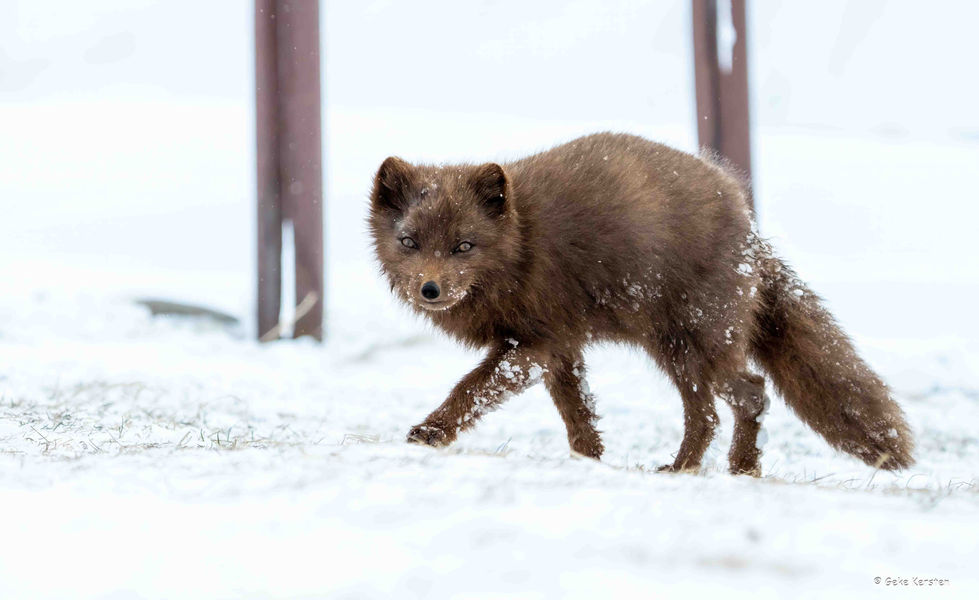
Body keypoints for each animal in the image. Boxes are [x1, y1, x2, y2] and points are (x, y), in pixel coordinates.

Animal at [368, 132, 913, 475]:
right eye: (410, 242)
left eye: (464, 246)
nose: (429, 290)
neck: (522, 246)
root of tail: (748, 223)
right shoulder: (560, 347)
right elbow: (578, 413)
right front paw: (590, 461)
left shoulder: (532, 344)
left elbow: (472, 388)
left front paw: (429, 433)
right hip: (677, 349)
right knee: (712, 412)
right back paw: (699, 468)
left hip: (698, 341)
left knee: (750, 393)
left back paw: (723, 469)